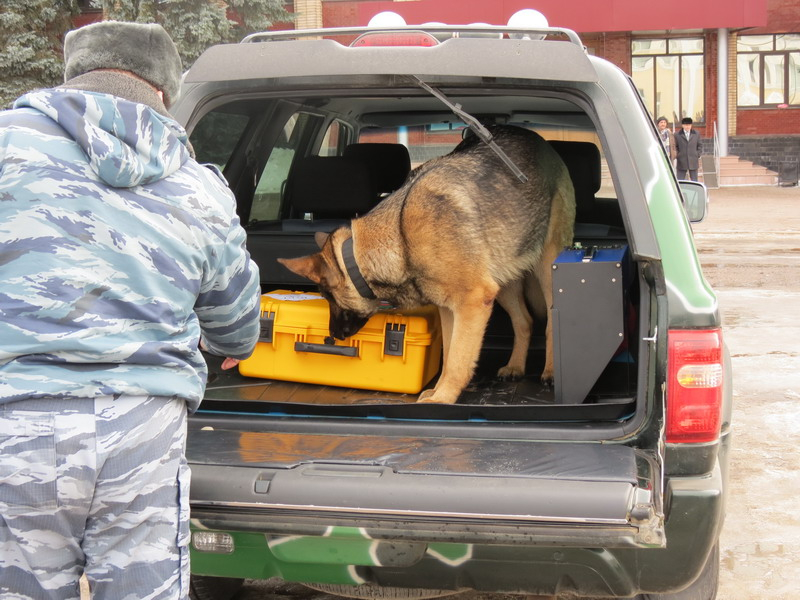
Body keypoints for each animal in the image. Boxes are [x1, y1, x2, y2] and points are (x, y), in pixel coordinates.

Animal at [282, 125, 576, 406]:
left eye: (328, 297)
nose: (332, 336)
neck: (401, 238)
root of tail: (538, 139)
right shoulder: (451, 308)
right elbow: (449, 357)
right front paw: (437, 390)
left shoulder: (472, 304)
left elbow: (457, 360)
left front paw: (444, 398)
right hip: (503, 280)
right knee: (524, 320)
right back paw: (515, 366)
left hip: (546, 268)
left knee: (551, 320)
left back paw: (551, 371)